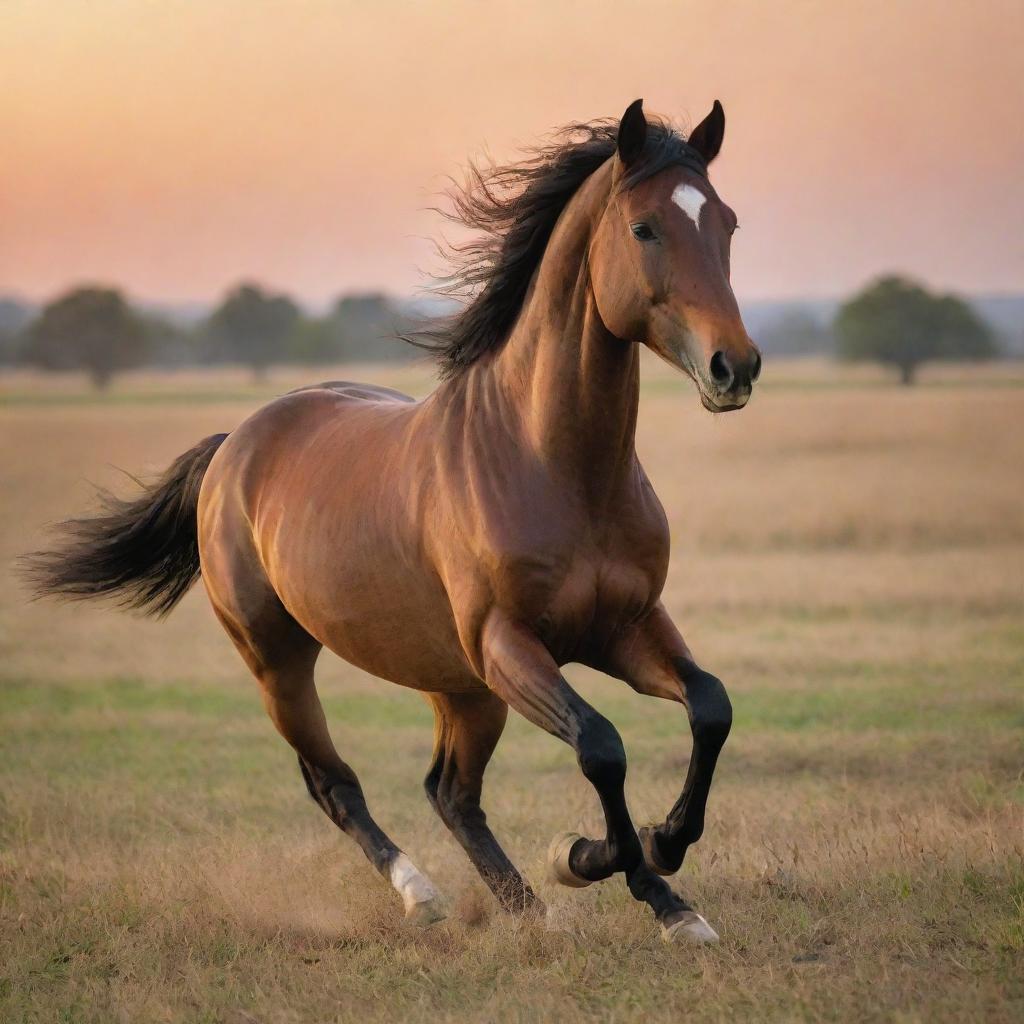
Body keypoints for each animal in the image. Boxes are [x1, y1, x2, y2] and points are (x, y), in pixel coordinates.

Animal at [28, 97, 761, 942]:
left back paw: (528, 910)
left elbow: (710, 708)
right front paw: (594, 860)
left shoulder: (625, 626)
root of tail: (234, 445)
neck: (553, 465)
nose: (735, 368)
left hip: (459, 685)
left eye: (727, 223)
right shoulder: (510, 645)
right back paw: (425, 895)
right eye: (644, 227)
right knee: (336, 782)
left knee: (450, 791)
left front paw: (663, 866)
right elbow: (601, 746)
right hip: (284, 662)